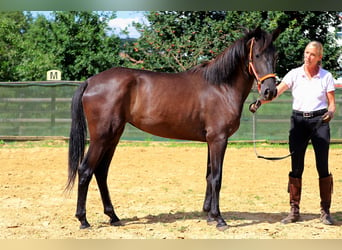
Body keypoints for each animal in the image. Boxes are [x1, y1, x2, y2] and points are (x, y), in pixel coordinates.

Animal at [66, 26, 280, 230]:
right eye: (257, 55)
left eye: (275, 56)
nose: (269, 91)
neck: (221, 86)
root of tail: (90, 81)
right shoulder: (218, 139)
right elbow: (217, 178)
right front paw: (219, 219)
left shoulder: (211, 141)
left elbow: (209, 176)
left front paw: (209, 215)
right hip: (101, 138)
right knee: (85, 171)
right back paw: (83, 220)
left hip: (113, 137)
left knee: (101, 172)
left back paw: (113, 217)